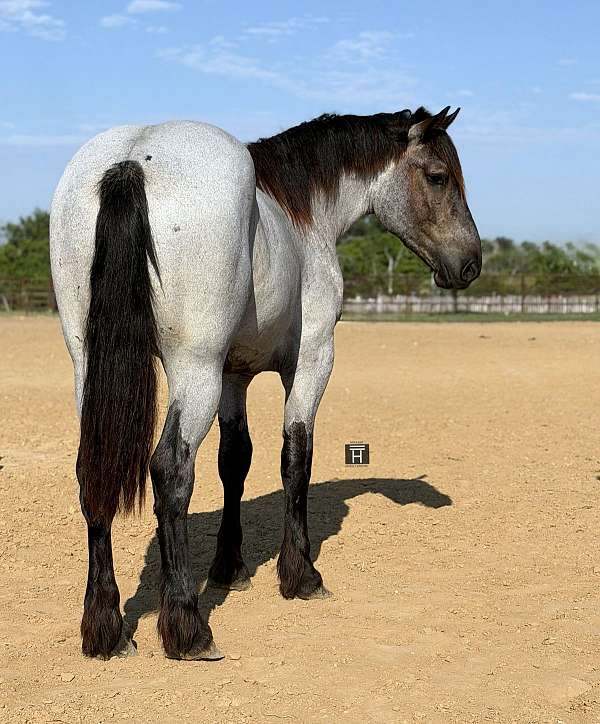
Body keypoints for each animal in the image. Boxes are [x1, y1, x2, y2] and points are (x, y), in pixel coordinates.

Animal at [49, 105, 481, 661]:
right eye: (437, 176)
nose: (470, 263)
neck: (302, 217)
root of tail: (131, 159)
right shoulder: (311, 361)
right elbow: (296, 456)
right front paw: (299, 574)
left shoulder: (233, 375)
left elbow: (235, 460)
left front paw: (229, 568)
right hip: (194, 368)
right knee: (170, 471)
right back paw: (187, 627)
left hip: (89, 365)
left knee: (93, 472)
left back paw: (103, 626)